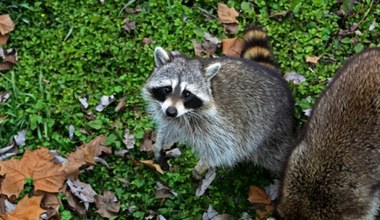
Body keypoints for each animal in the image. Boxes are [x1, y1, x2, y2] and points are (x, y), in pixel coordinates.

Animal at [141, 25, 296, 177]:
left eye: (187, 94)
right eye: (167, 89)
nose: (171, 111)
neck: (187, 113)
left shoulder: (221, 125)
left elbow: (224, 149)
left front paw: (202, 166)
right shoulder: (171, 117)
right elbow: (167, 128)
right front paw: (159, 144)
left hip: (272, 134)